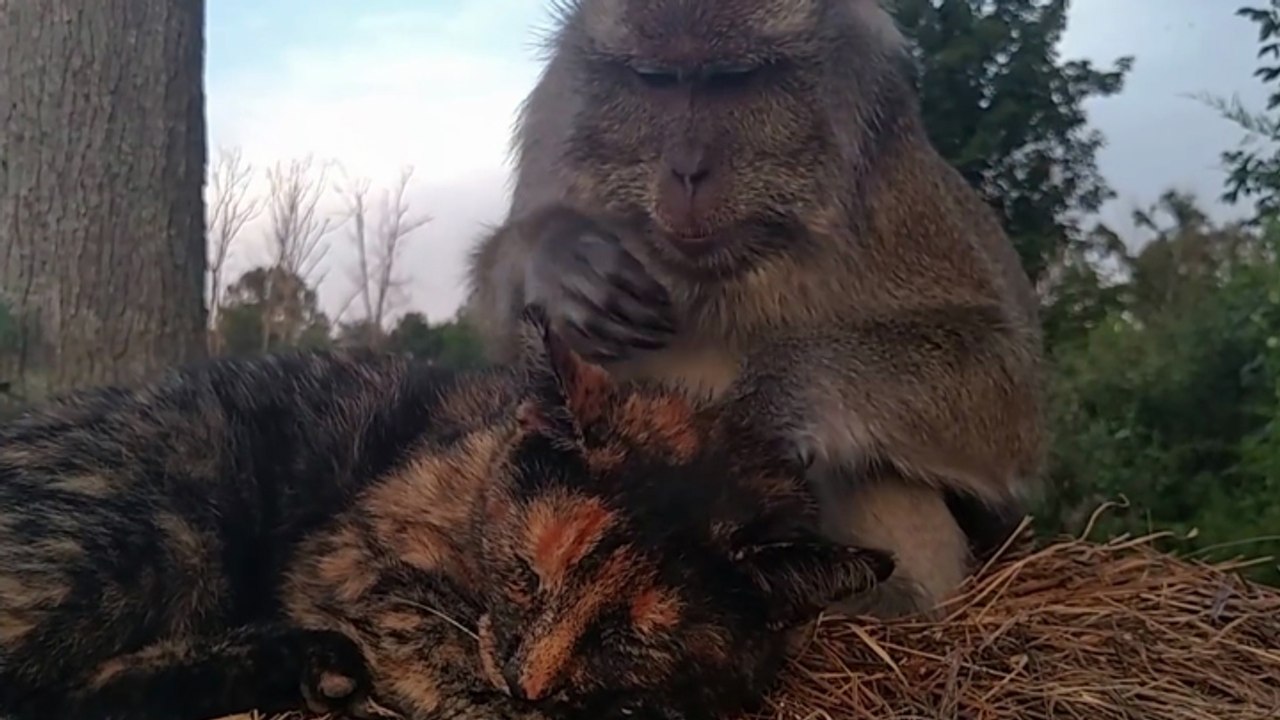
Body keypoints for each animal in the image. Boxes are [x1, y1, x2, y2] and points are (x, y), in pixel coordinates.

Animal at [463, 0, 1045, 619]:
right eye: (656, 80)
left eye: (733, 81)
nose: (687, 171)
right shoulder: (553, 130)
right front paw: (556, 257)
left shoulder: (896, 189)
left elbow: (1005, 382)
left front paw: (775, 397)